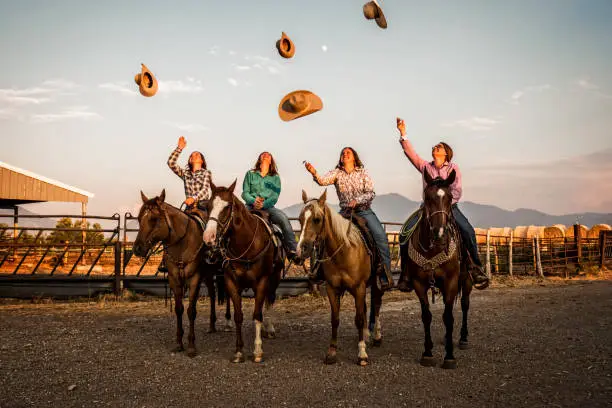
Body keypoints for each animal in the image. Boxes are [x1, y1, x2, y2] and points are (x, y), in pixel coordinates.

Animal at [133, 190, 226, 356]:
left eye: (154, 219)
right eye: (138, 218)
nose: (137, 249)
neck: (183, 242)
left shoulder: (194, 279)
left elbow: (191, 311)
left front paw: (191, 346)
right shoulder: (174, 279)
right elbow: (179, 309)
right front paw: (178, 343)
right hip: (208, 274)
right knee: (212, 294)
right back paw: (211, 325)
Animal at [203, 182, 284, 364]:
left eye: (227, 207)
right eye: (208, 206)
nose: (208, 237)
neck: (246, 244)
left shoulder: (262, 281)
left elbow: (257, 315)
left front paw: (258, 351)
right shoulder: (231, 283)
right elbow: (238, 316)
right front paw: (239, 351)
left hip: (274, 278)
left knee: (270, 301)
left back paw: (270, 329)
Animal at [298, 190, 388, 364]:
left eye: (317, 219)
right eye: (300, 219)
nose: (301, 250)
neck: (343, 252)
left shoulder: (359, 287)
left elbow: (358, 319)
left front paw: (362, 354)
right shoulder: (333, 288)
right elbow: (335, 319)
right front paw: (332, 352)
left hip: (375, 283)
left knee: (376, 305)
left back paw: (377, 336)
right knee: (366, 307)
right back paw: (366, 335)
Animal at [396, 170, 474, 370]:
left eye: (450, 197)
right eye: (428, 197)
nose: (439, 233)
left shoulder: (451, 281)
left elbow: (448, 317)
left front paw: (449, 356)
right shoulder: (419, 284)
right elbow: (427, 316)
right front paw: (428, 353)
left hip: (466, 281)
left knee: (464, 305)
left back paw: (463, 339)